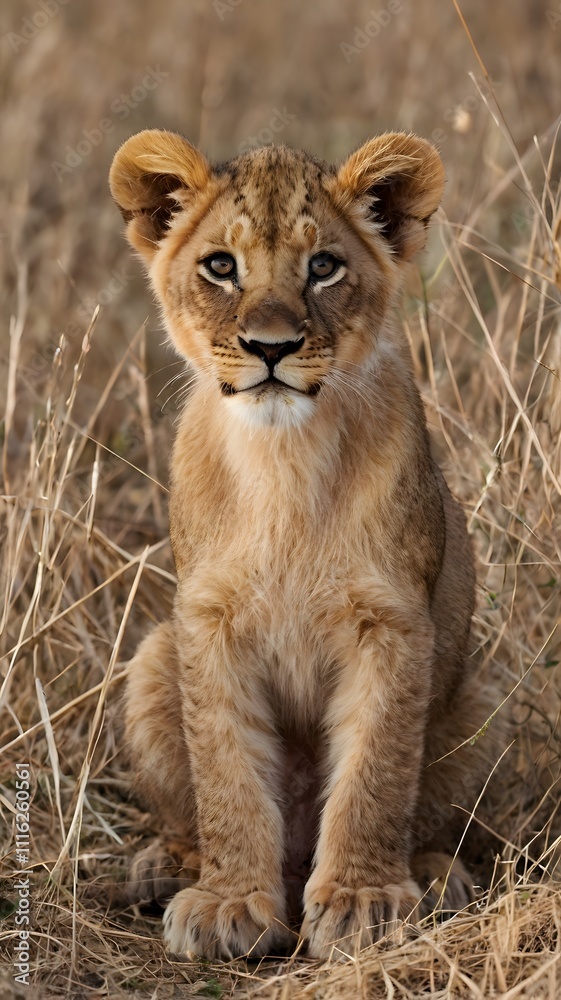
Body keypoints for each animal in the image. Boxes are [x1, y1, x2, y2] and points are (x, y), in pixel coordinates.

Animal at [109, 129, 501, 961]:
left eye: (323, 265)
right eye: (220, 266)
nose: (270, 347)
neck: (282, 460)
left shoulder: (391, 622)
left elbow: (374, 773)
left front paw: (364, 902)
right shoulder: (207, 623)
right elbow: (226, 772)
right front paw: (228, 903)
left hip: (476, 697)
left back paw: (433, 876)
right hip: (154, 657)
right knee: (189, 811)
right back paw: (166, 865)